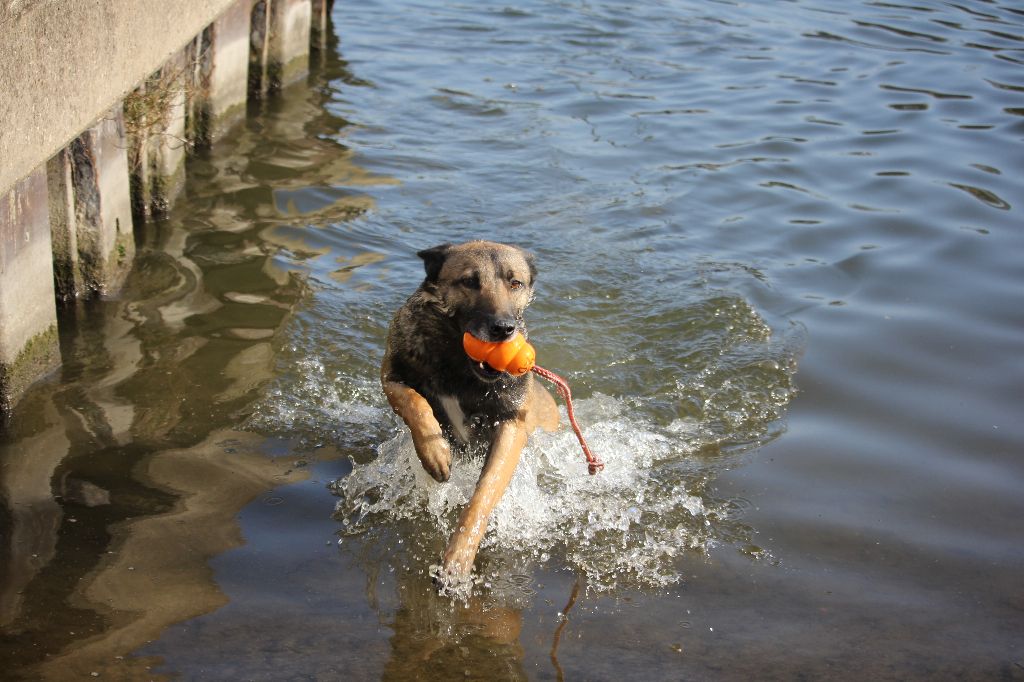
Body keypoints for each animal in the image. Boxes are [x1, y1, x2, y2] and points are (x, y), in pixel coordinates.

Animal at [382, 238, 561, 577]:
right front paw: (435, 453)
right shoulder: (390, 376)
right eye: (469, 282)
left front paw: (458, 558)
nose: (503, 329)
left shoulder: (511, 426)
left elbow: (483, 495)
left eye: (515, 283)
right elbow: (414, 402)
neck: (459, 363)